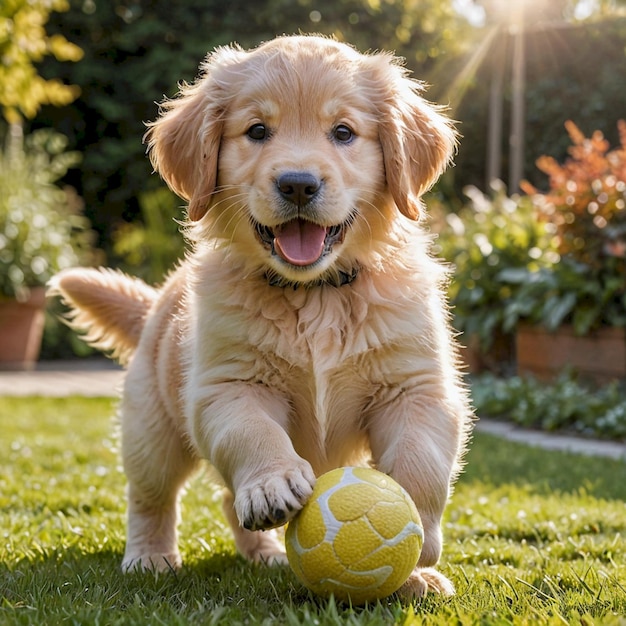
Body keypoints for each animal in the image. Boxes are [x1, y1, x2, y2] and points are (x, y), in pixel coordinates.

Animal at [51, 34, 470, 596]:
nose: (298, 184)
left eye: (343, 132)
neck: (314, 293)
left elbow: (420, 462)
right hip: (150, 428)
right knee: (151, 497)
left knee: (230, 500)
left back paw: (266, 554)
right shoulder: (228, 384)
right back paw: (151, 555)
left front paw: (417, 550)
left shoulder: (414, 386)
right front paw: (272, 481)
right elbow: (253, 432)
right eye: (257, 131)